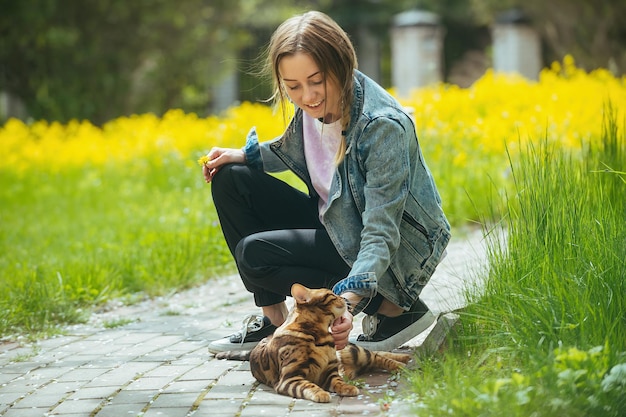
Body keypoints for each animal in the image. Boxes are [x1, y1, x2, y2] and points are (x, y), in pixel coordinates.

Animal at [212, 284, 412, 402]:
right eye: (331, 295)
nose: (345, 298)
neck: (320, 337)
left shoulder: (331, 372)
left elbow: (339, 382)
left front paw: (347, 387)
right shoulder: (290, 378)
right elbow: (309, 385)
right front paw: (321, 393)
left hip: (357, 352)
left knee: (380, 356)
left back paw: (403, 362)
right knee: (377, 357)